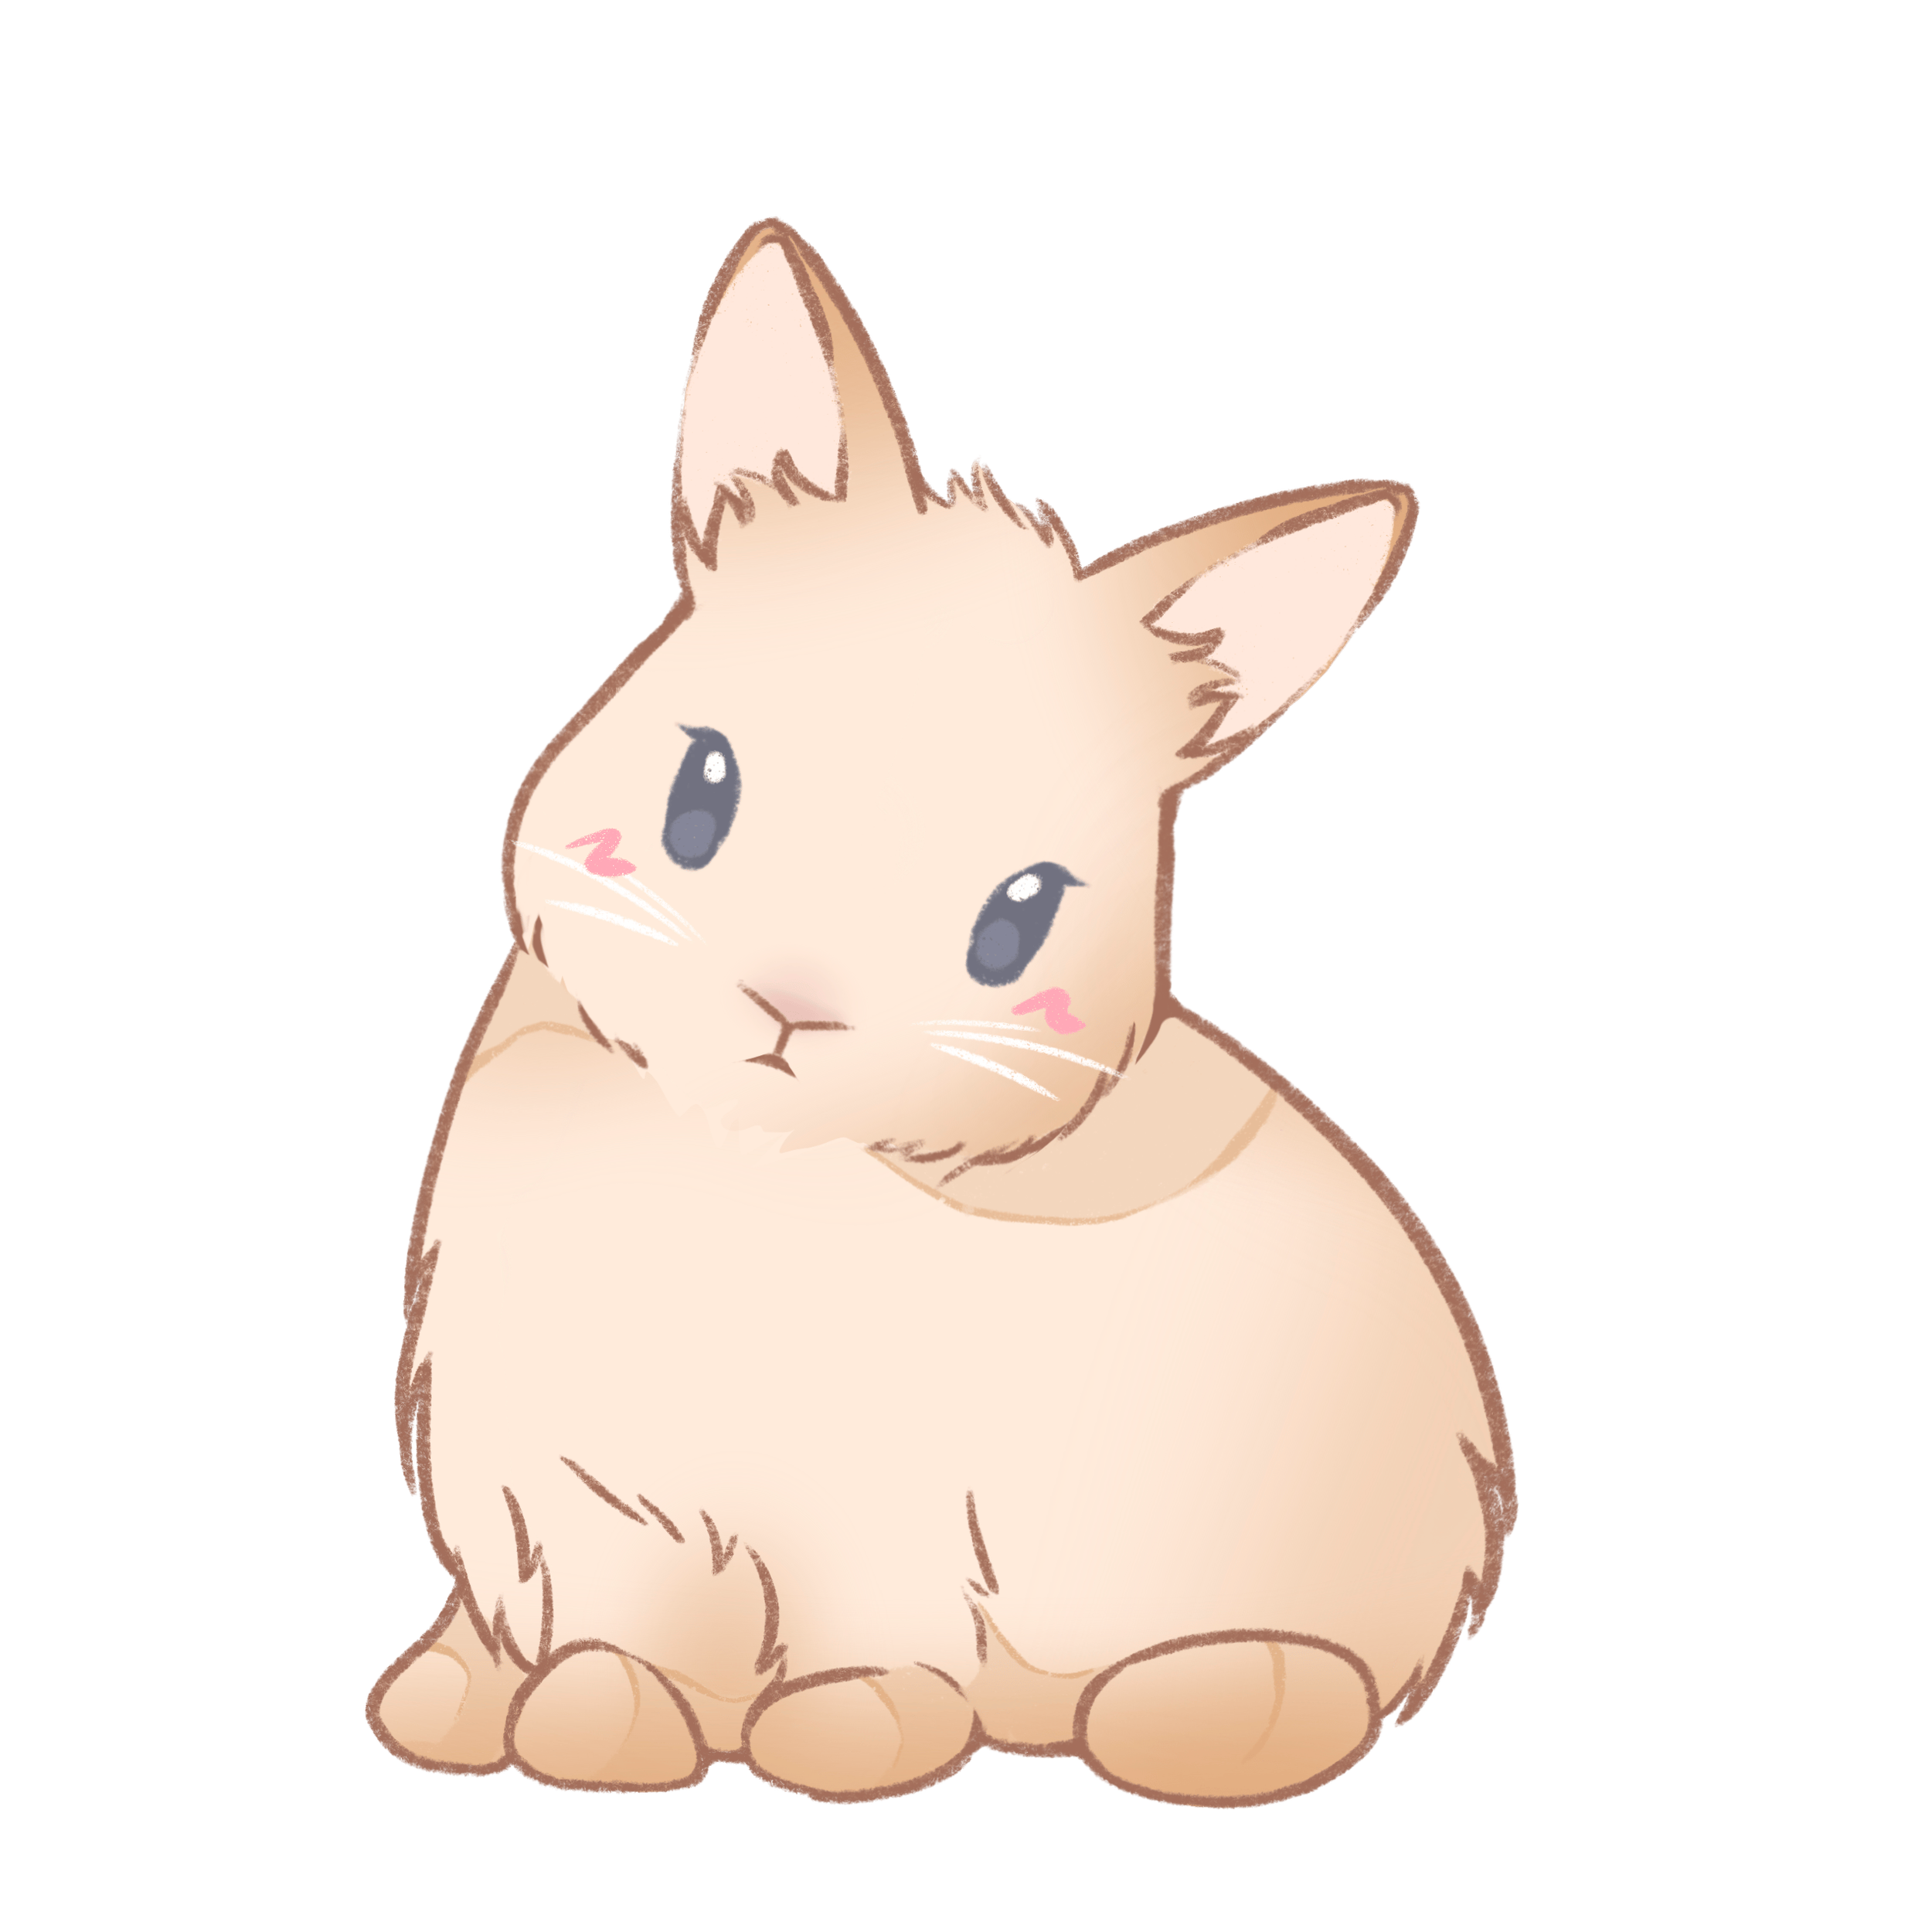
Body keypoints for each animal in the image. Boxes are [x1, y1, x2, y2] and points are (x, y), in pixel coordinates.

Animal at [364, 216, 1516, 1808]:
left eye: (1016, 918)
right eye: (701, 791)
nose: (794, 1005)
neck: (744, 1151)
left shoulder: (878, 1514)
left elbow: (857, 1641)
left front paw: (833, 1733)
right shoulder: (574, 1490)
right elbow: (613, 1635)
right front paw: (597, 1720)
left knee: (1295, 1680)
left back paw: (1181, 1719)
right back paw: (450, 1704)